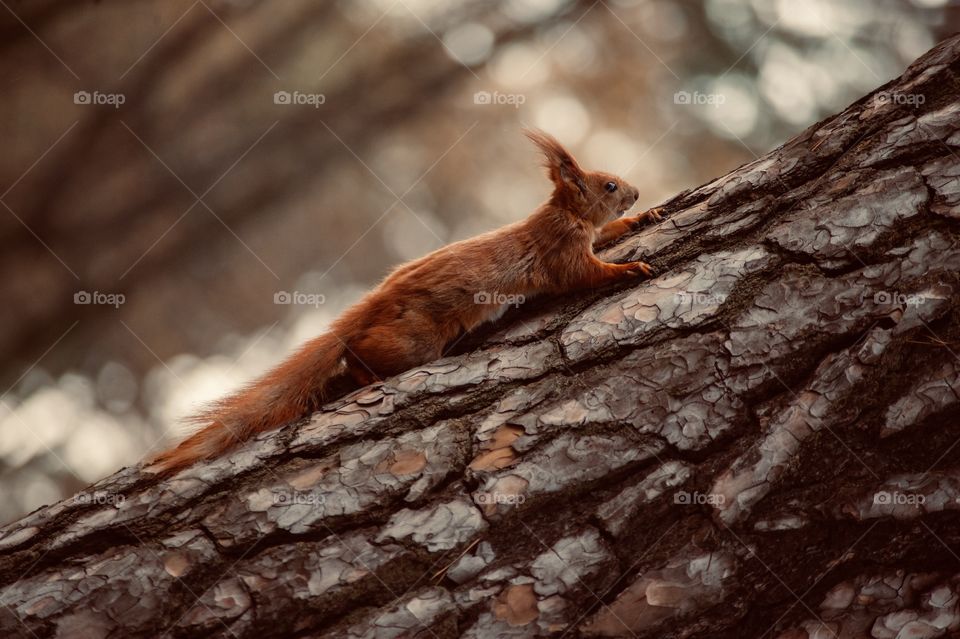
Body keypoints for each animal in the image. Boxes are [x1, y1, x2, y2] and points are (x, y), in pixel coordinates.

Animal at [146, 130, 663, 474]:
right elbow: (586, 274)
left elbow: (608, 236)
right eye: (609, 185)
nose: (637, 192)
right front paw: (630, 269)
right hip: (412, 340)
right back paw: (363, 374)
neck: (566, 214)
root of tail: (370, 308)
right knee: (358, 351)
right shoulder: (562, 252)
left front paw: (645, 218)